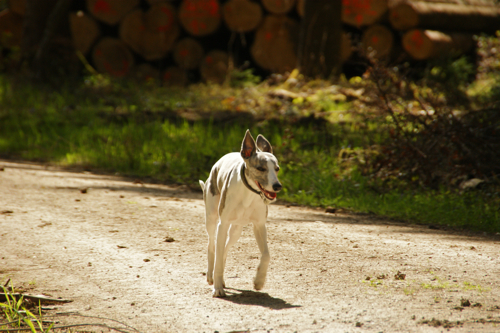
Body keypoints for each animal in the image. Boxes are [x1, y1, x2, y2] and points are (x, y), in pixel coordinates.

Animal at [201, 129, 284, 296]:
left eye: (277, 168)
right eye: (260, 168)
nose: (277, 186)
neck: (248, 193)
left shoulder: (259, 225)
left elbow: (266, 255)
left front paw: (259, 280)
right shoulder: (223, 224)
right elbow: (217, 255)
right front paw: (218, 288)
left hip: (236, 230)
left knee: (225, 248)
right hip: (212, 219)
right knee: (212, 245)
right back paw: (211, 276)